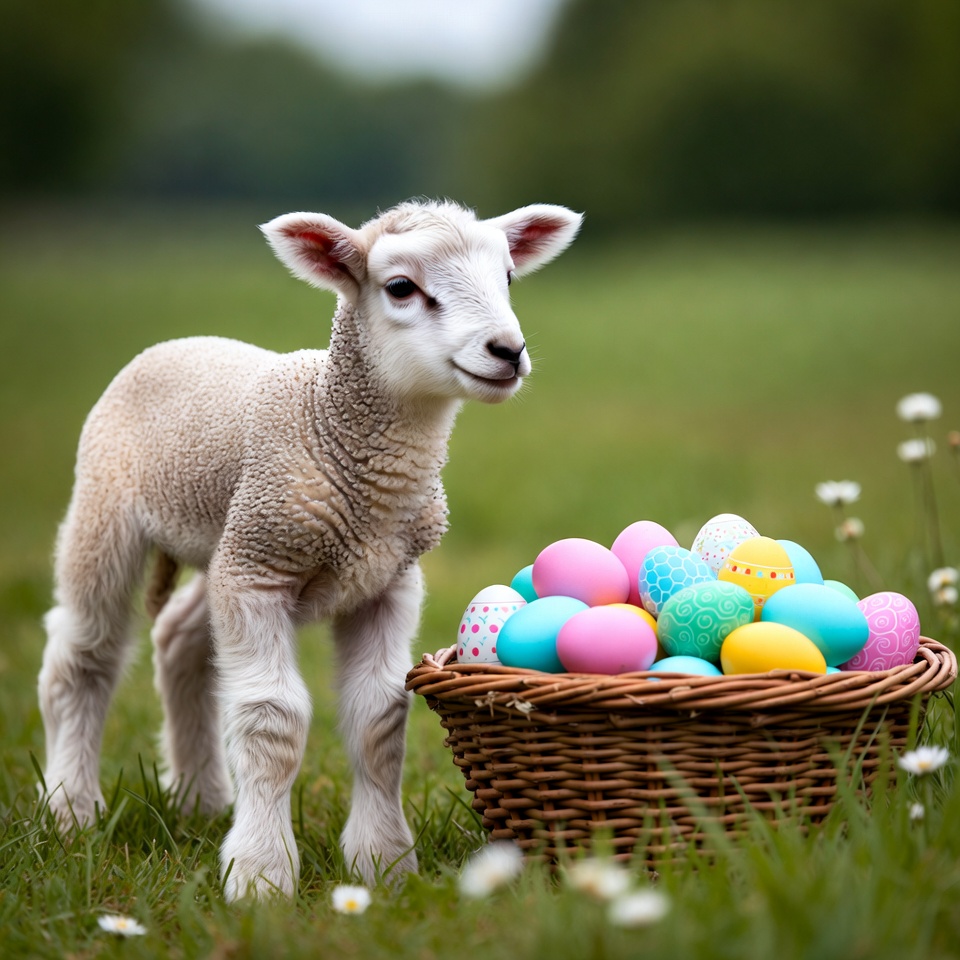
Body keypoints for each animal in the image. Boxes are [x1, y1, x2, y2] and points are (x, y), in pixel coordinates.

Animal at [37, 199, 582, 900]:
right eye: (400, 287)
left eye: (509, 277)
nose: (507, 351)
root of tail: (183, 342)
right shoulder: (260, 575)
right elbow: (273, 721)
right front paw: (261, 876)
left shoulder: (386, 581)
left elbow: (379, 719)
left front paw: (385, 865)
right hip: (111, 512)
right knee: (83, 656)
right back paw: (71, 809)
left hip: (227, 541)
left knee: (178, 639)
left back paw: (199, 800)